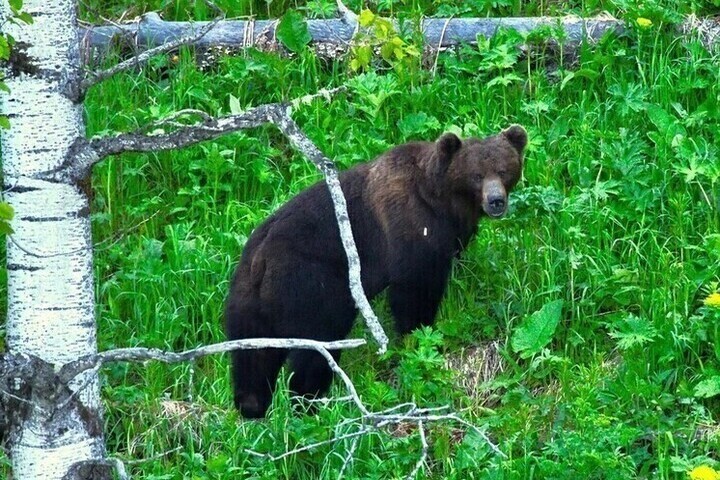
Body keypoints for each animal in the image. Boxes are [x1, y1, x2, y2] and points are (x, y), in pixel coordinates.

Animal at [224, 125, 527, 418]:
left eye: (503, 170)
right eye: (476, 175)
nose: (496, 200)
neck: (442, 201)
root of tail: (260, 259)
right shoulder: (410, 231)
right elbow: (414, 292)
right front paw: (419, 335)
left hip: (247, 300)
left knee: (252, 358)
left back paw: (253, 406)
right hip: (310, 286)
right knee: (319, 345)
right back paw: (311, 402)